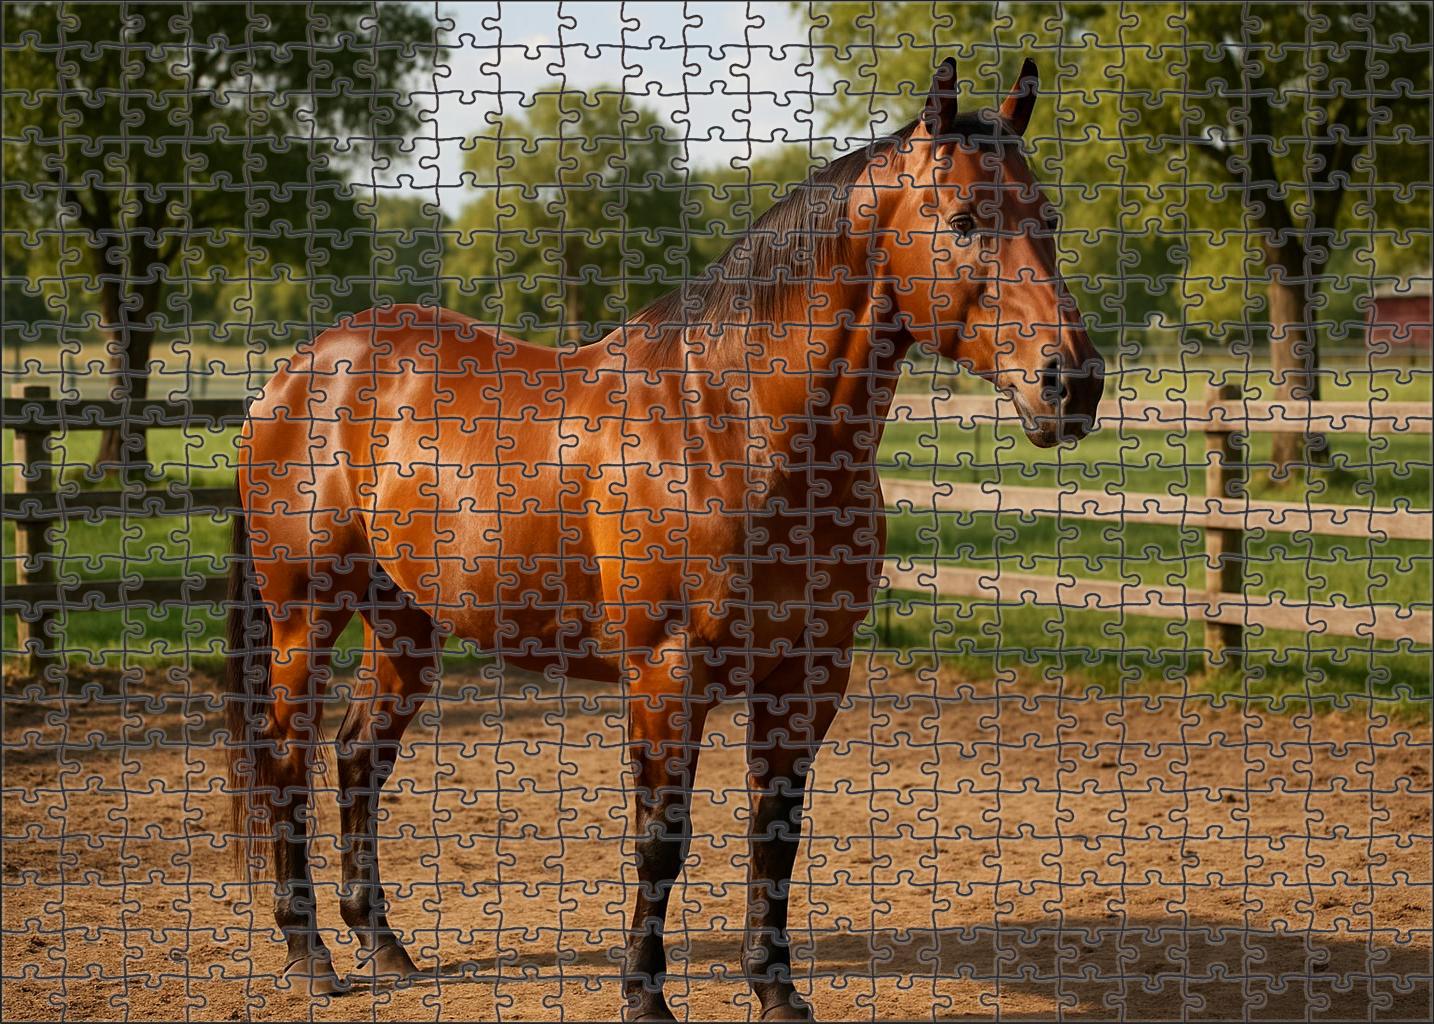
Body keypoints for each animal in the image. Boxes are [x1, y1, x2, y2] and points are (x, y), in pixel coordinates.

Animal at [224, 57, 1103, 1021]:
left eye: (1047, 220)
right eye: (964, 220)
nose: (1072, 384)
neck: (738, 426)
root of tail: (302, 370)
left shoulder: (808, 677)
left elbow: (775, 834)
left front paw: (777, 992)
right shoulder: (665, 675)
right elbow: (662, 839)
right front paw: (644, 996)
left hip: (407, 628)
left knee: (357, 756)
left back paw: (381, 942)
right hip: (304, 619)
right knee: (286, 757)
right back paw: (310, 952)